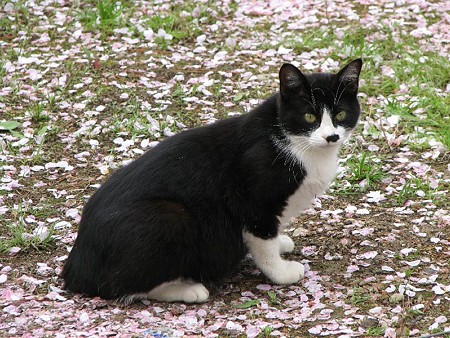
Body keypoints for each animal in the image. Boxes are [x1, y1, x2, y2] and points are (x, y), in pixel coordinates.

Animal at [61, 58, 362, 304]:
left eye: (340, 114)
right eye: (310, 116)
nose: (331, 136)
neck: (294, 142)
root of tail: (75, 267)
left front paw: (281, 243)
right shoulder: (253, 200)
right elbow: (263, 240)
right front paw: (281, 271)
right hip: (170, 217)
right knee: (119, 285)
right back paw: (187, 289)